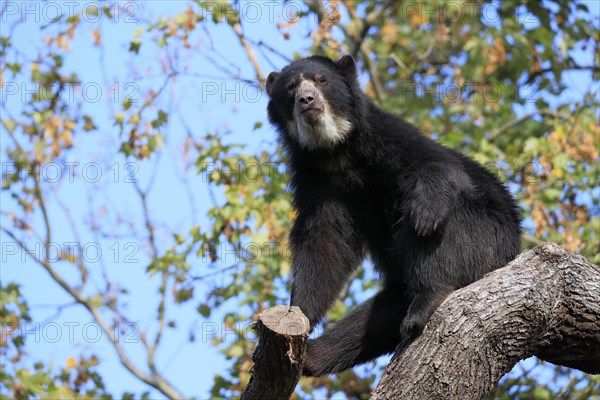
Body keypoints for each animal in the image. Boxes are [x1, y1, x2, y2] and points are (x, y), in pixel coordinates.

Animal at [266, 54, 520, 376]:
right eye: (291, 88)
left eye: (321, 80)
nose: (307, 100)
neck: (336, 151)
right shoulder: (314, 181)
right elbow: (324, 245)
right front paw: (299, 314)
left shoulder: (389, 135)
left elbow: (439, 165)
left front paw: (426, 211)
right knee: (375, 317)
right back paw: (313, 357)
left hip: (486, 241)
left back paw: (427, 300)